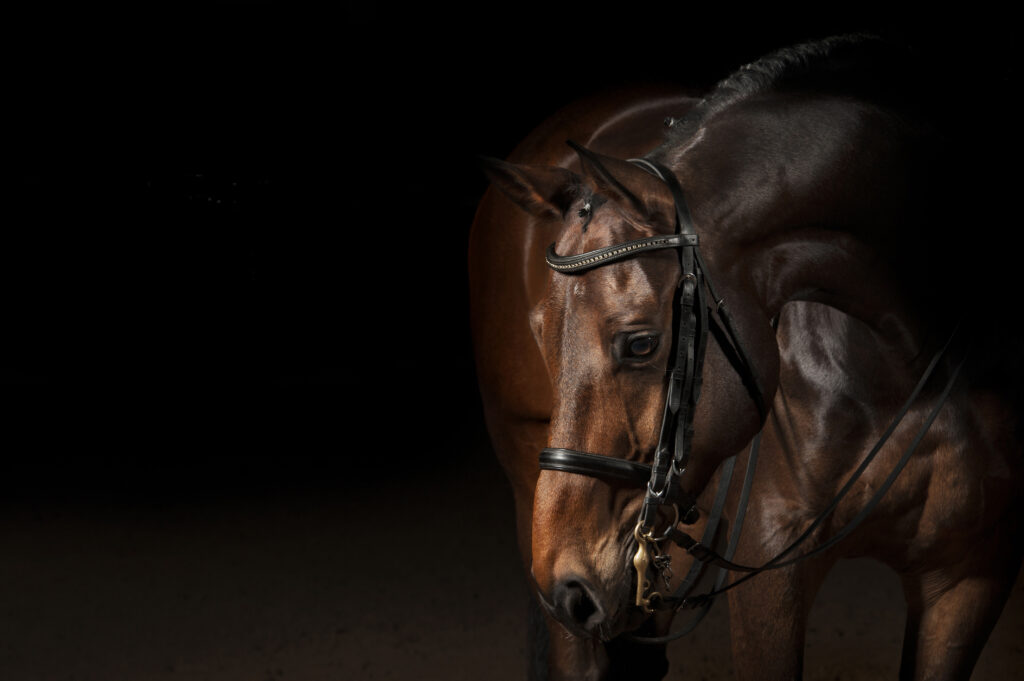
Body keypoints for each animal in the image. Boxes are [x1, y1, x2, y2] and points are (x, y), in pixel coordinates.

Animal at [468, 35, 1022, 680]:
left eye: (640, 342)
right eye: (543, 334)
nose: (568, 584)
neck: (906, 359)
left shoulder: (970, 576)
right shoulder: (769, 567)